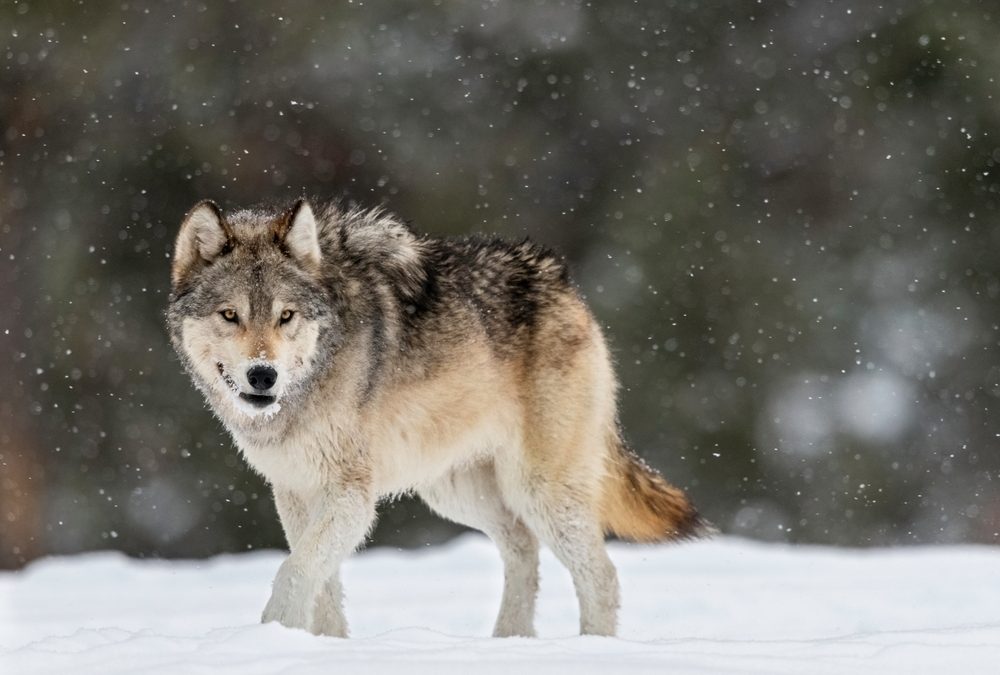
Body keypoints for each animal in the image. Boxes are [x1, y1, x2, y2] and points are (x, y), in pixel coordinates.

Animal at [167, 198, 710, 638]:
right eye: (230, 315)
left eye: (286, 316)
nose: (263, 375)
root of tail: (560, 280)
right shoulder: (297, 493)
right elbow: (322, 584)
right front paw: (326, 646)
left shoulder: (349, 496)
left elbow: (294, 572)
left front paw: (272, 637)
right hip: (457, 492)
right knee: (523, 548)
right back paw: (509, 643)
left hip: (539, 490)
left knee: (601, 575)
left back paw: (587, 650)